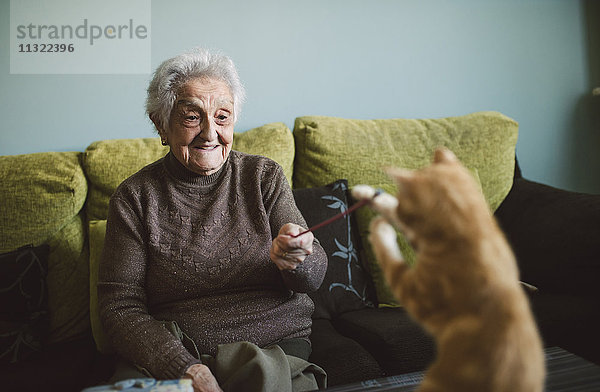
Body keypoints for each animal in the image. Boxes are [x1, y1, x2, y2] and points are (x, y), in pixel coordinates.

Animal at [352, 148, 544, 392]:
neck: (475, 233)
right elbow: (390, 205)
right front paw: (366, 192)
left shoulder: (418, 293)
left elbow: (392, 257)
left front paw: (380, 229)